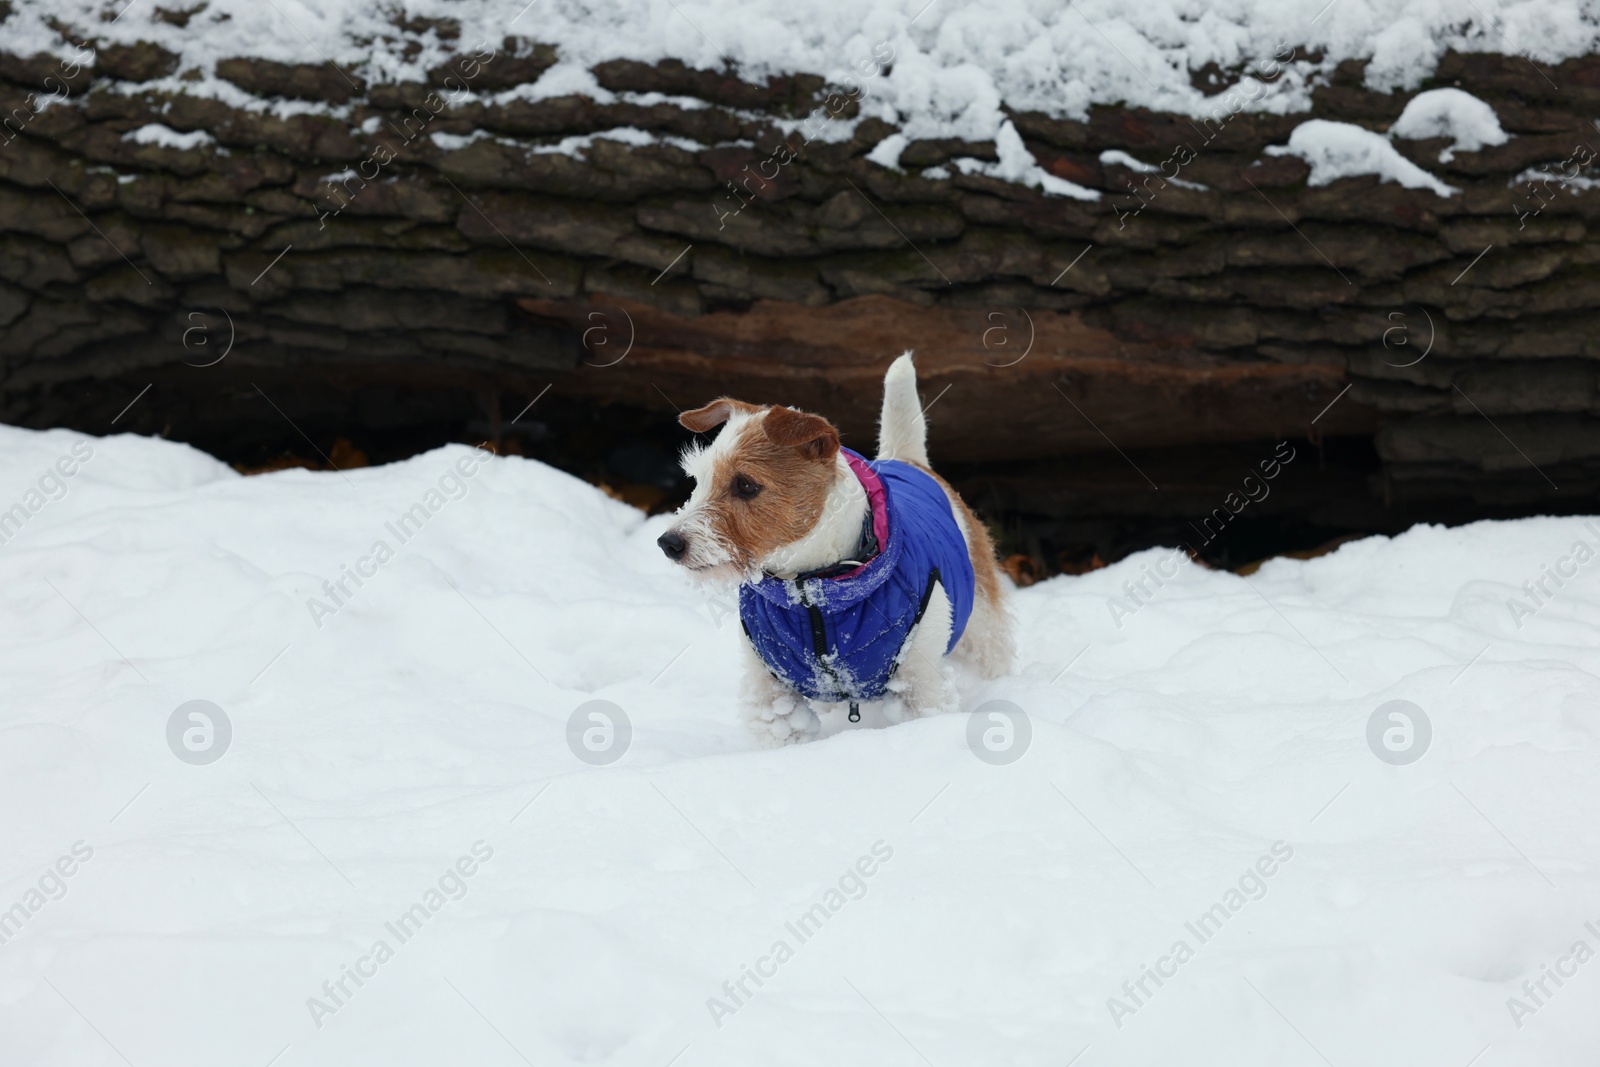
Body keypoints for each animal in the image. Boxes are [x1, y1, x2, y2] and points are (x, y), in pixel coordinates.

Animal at [659, 350, 1011, 742]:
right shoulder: (772, 693)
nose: (668, 542)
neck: (813, 591)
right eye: (698, 479)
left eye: (746, 485)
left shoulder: (921, 686)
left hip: (981, 622)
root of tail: (905, 458)